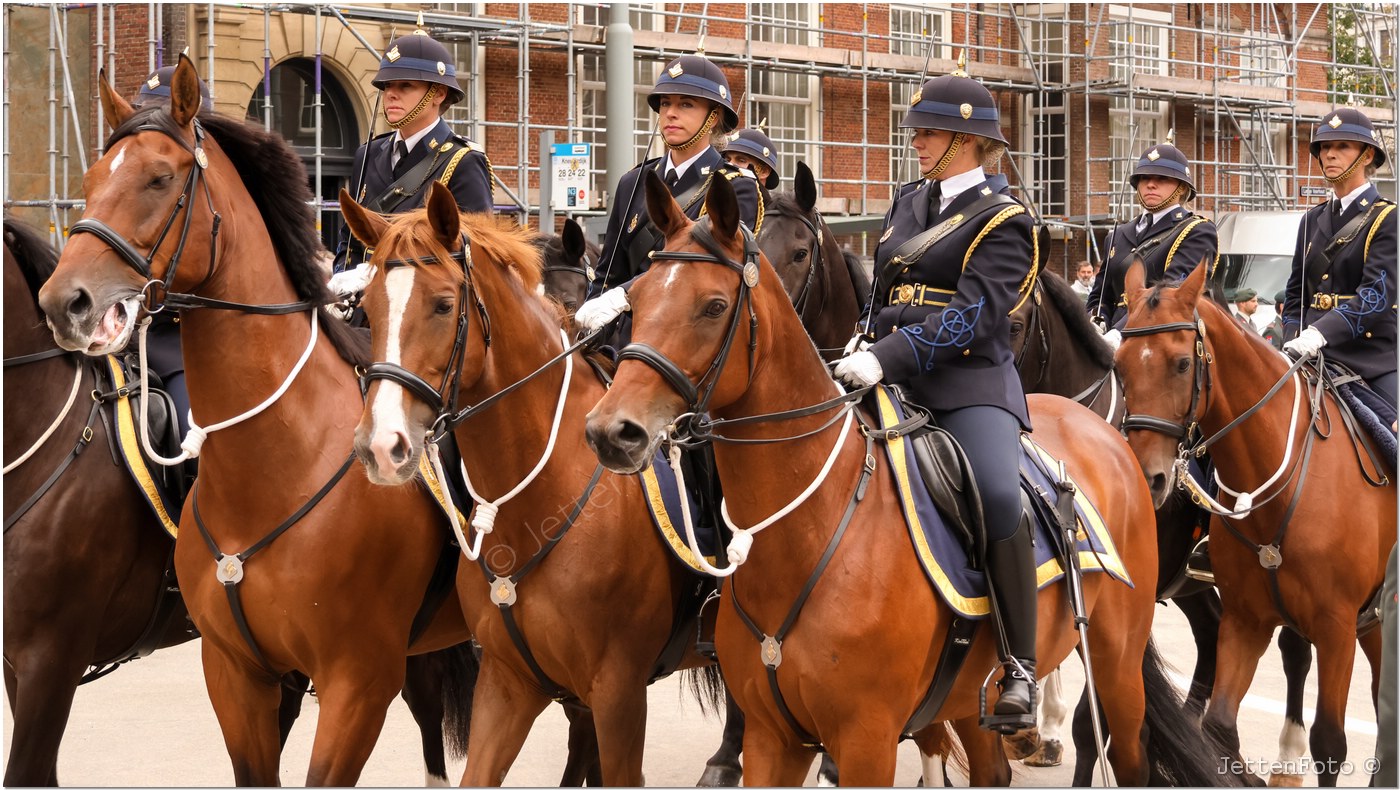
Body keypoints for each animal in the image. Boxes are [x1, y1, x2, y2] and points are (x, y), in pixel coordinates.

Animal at [1108, 259, 1394, 784]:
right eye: (1119, 365)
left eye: (1182, 364)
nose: (1145, 476)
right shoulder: (1246, 619)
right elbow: (1220, 726)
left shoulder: (1336, 628)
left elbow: (1330, 741)